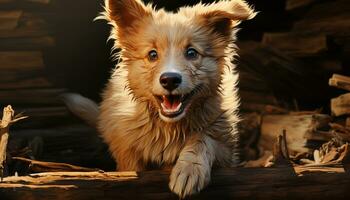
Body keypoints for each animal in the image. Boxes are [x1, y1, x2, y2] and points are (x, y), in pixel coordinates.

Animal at [65, 0, 256, 197]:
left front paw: (189, 169)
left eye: (191, 53)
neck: (169, 128)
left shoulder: (226, 149)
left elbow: (203, 139)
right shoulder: (127, 153)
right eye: (152, 54)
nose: (170, 79)